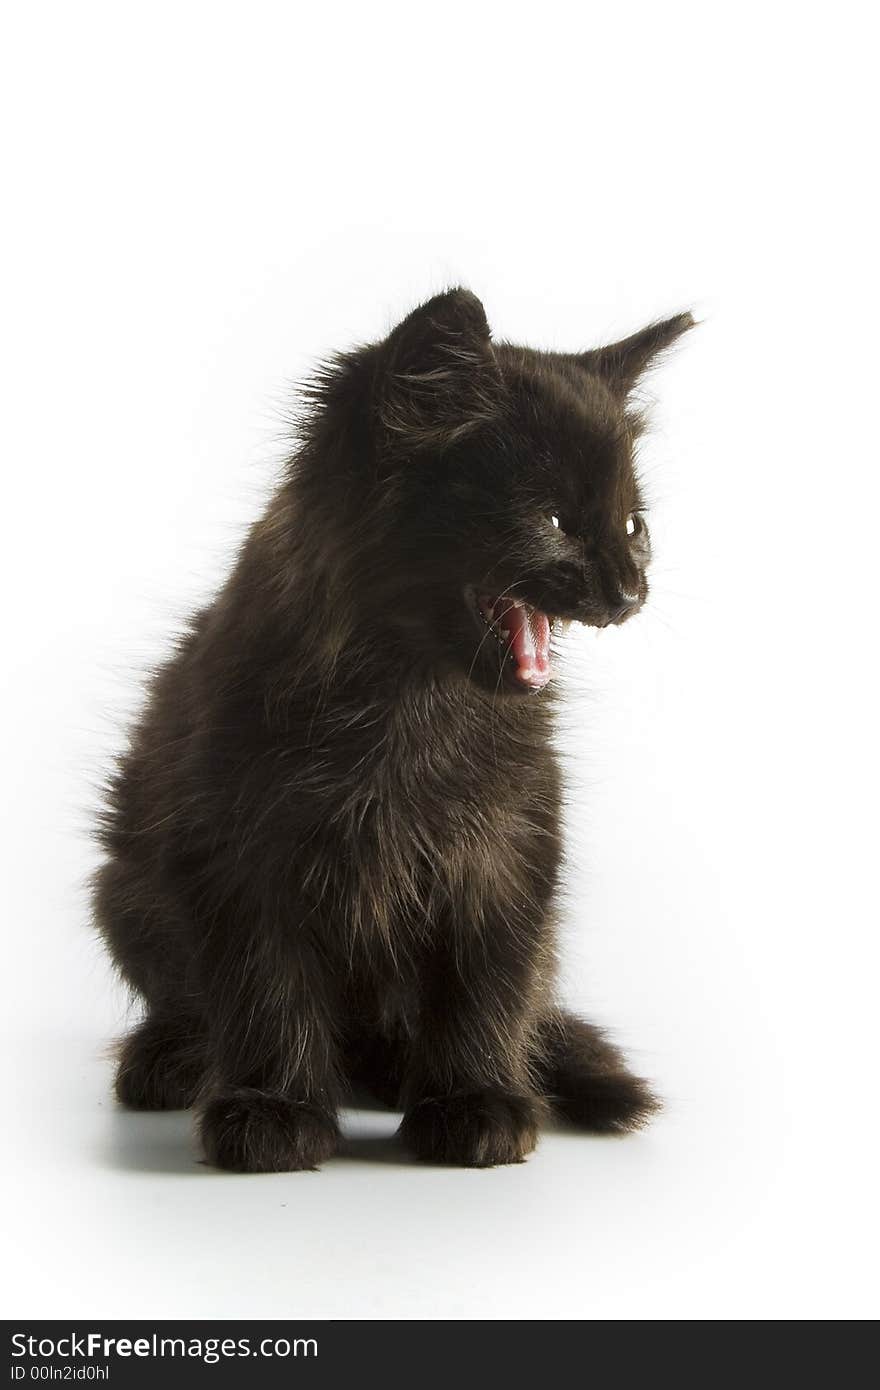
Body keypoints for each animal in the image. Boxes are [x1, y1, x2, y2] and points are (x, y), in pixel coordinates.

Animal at [94, 290, 692, 1173]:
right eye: (552, 520)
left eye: (633, 525)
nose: (628, 589)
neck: (410, 702)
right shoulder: (236, 849)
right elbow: (264, 983)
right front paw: (272, 1111)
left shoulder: (508, 849)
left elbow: (489, 979)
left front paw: (476, 1103)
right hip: (123, 887)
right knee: (185, 998)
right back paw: (172, 1058)